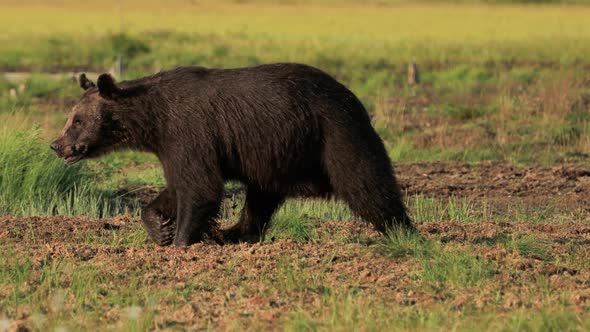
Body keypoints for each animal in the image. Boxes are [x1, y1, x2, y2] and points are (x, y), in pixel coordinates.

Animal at [52, 64, 416, 246]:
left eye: (77, 120)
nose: (57, 144)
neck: (153, 120)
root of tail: (353, 96)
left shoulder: (190, 130)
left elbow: (200, 186)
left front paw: (182, 240)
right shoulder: (173, 144)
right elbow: (178, 186)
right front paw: (161, 228)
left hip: (334, 133)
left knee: (365, 183)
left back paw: (403, 233)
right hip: (275, 156)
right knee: (260, 200)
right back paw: (233, 233)